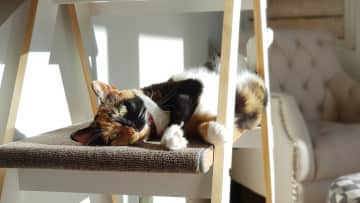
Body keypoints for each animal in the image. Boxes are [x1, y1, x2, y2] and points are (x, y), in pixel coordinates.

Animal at [71, 66, 268, 149]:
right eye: (114, 136)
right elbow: (198, 127)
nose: (134, 127)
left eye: (122, 110)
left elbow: (179, 110)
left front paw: (171, 137)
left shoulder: (191, 87)